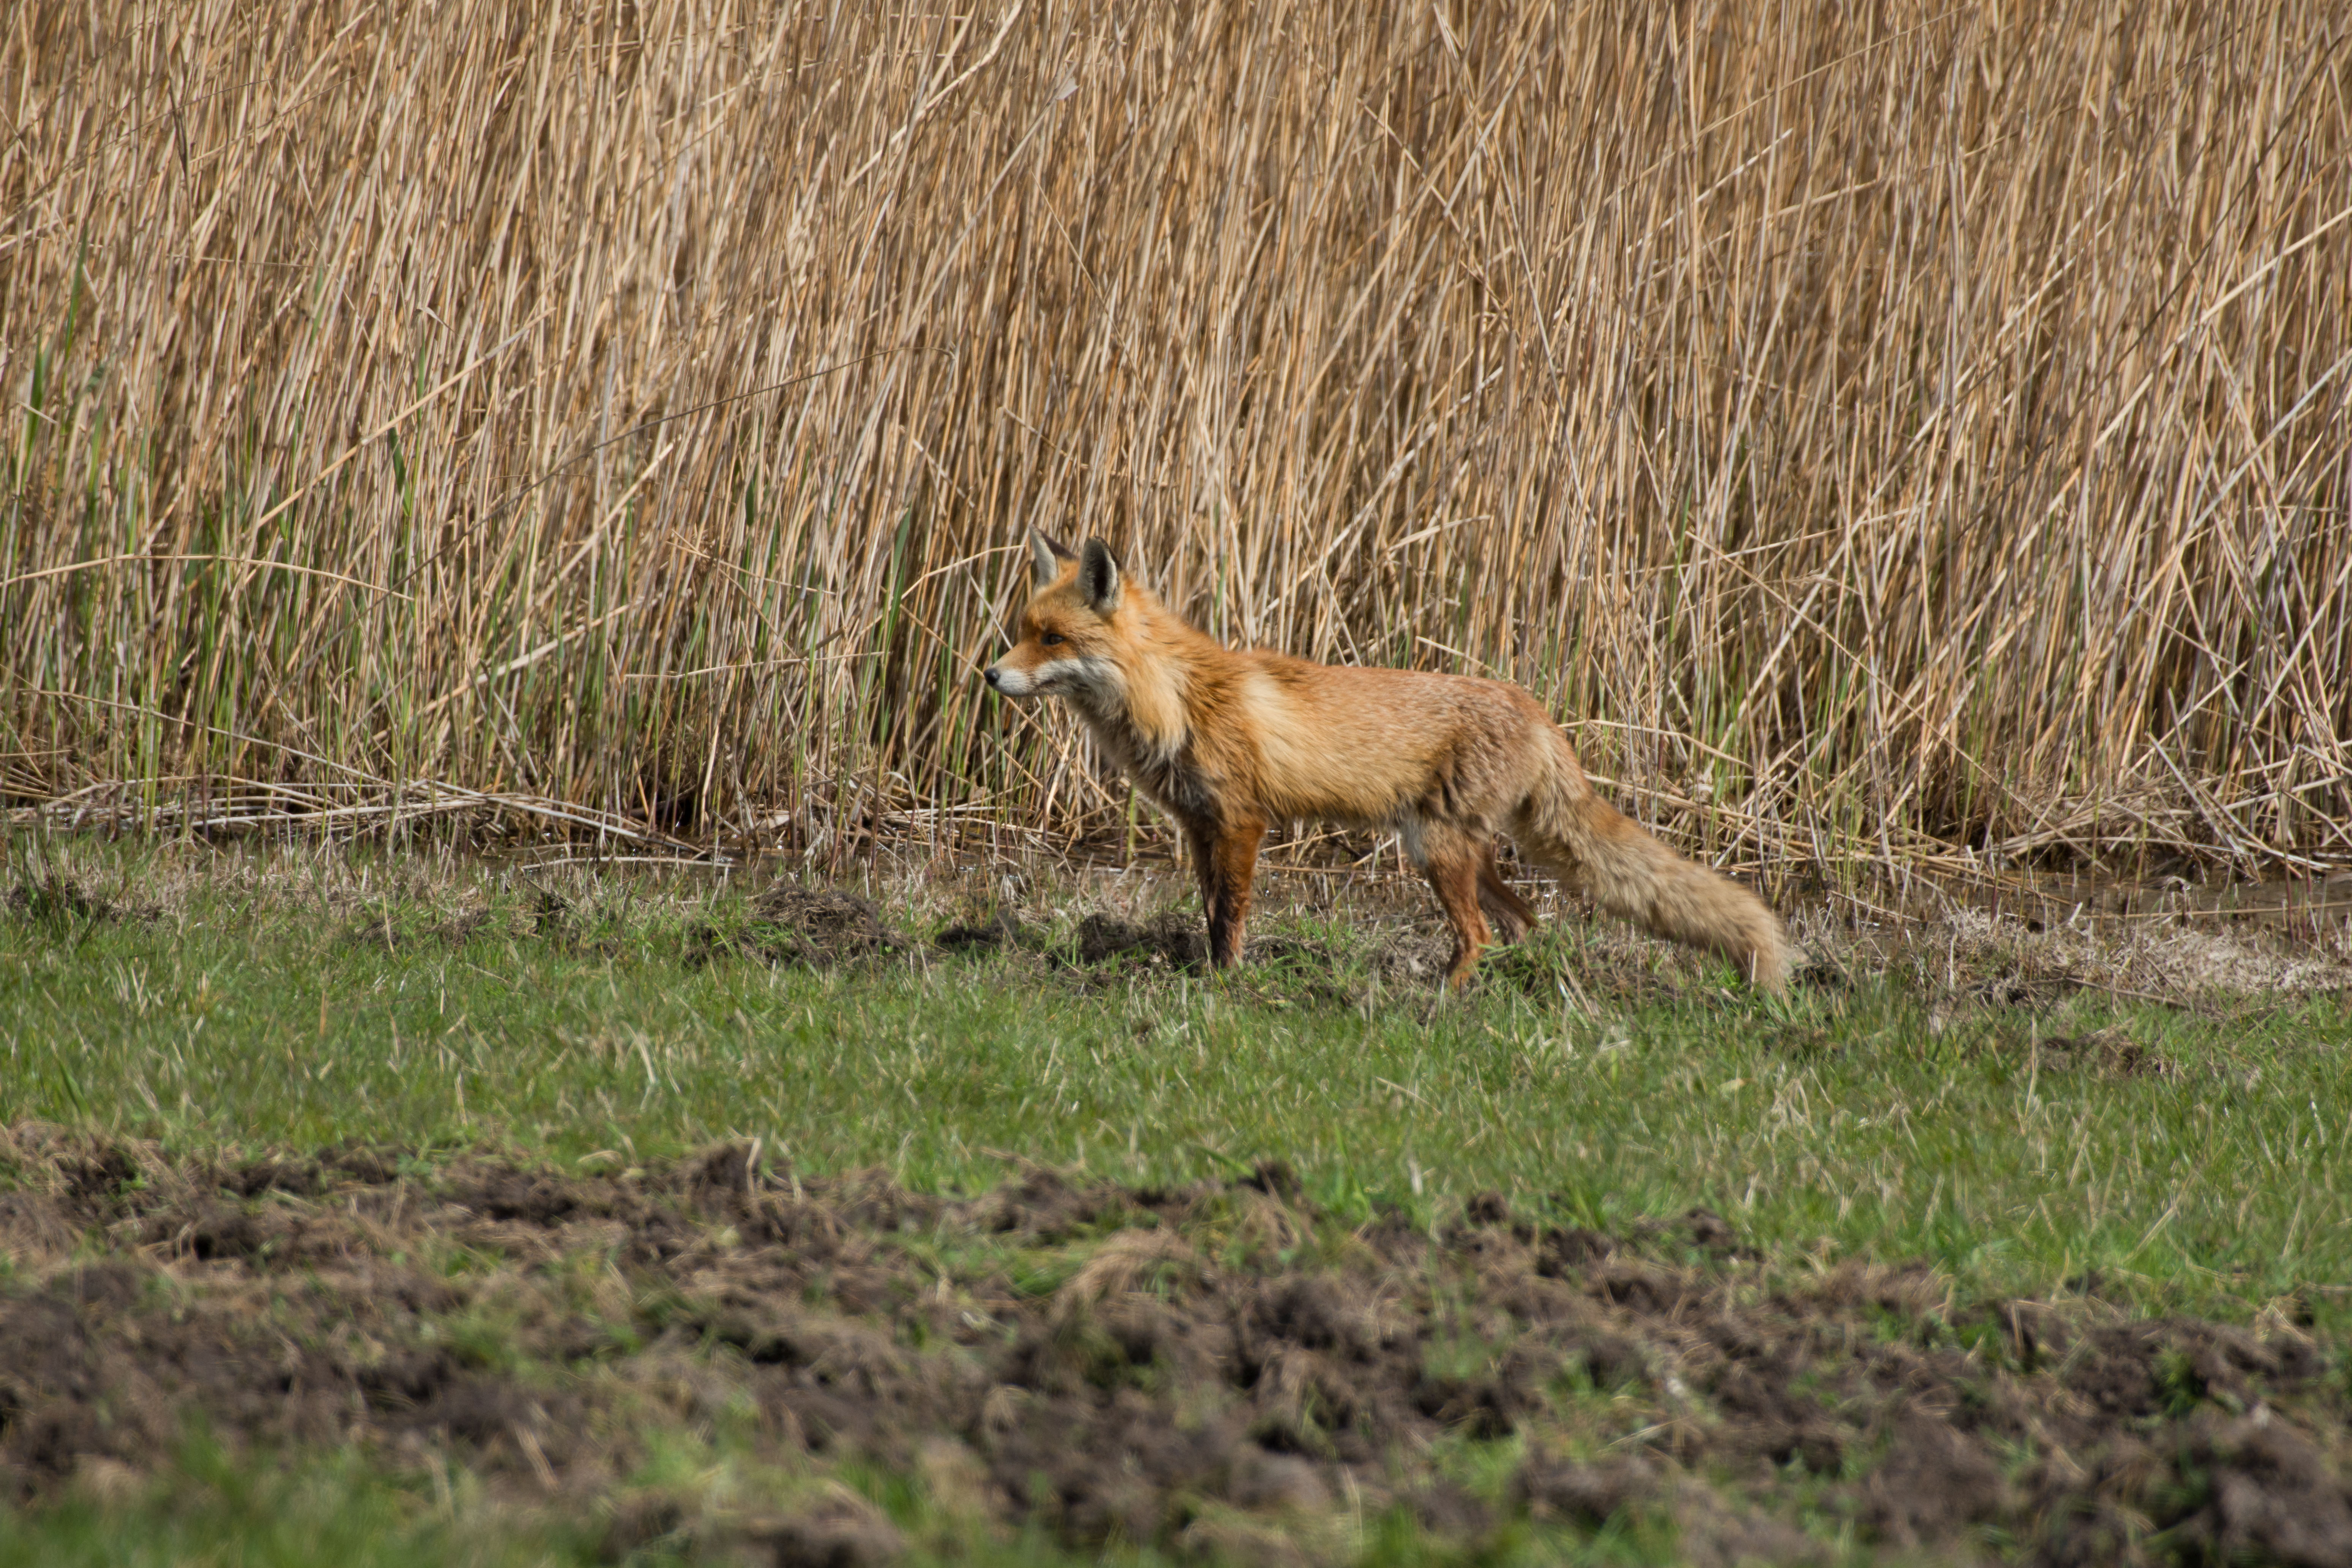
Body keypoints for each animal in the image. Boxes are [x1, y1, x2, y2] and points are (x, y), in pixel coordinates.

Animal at [983, 531, 1787, 992]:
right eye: (1022, 631)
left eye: (1051, 638)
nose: (990, 675)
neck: (1176, 696)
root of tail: (1532, 708)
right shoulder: (1198, 824)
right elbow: (1210, 909)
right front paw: (1206, 971)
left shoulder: (1241, 821)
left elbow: (1230, 914)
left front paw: (1226, 985)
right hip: (1460, 851)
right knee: (1524, 921)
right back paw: (1512, 984)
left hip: (1436, 849)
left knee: (1482, 932)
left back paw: (1438, 999)